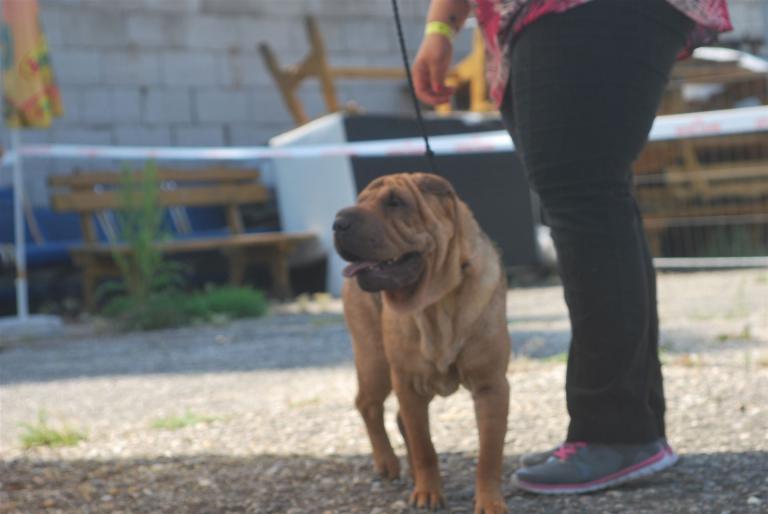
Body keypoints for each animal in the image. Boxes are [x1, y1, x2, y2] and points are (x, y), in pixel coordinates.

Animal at [333, 172, 510, 513]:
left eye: (395, 202)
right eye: (360, 201)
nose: (339, 221)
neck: (436, 304)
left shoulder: (491, 386)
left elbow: (489, 454)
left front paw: (490, 502)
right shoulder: (408, 384)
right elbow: (424, 447)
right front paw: (428, 494)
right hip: (374, 362)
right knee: (369, 406)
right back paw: (387, 463)